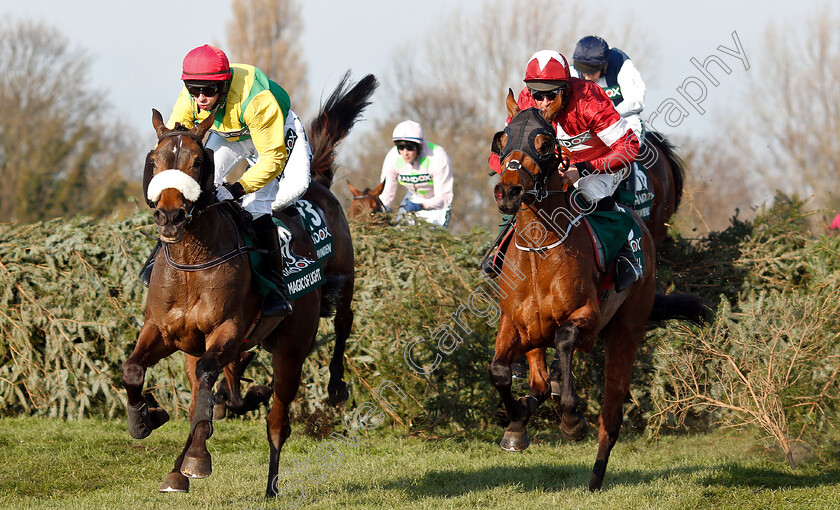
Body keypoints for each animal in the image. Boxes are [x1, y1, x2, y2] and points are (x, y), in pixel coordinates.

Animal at [124, 109, 328, 496]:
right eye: (153, 160)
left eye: (197, 161)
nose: (170, 215)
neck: (191, 261)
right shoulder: (161, 330)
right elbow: (133, 370)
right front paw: (146, 418)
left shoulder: (228, 330)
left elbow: (209, 377)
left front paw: (198, 457)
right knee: (206, 397)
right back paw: (177, 470)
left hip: (291, 352)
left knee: (277, 421)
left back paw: (270, 486)